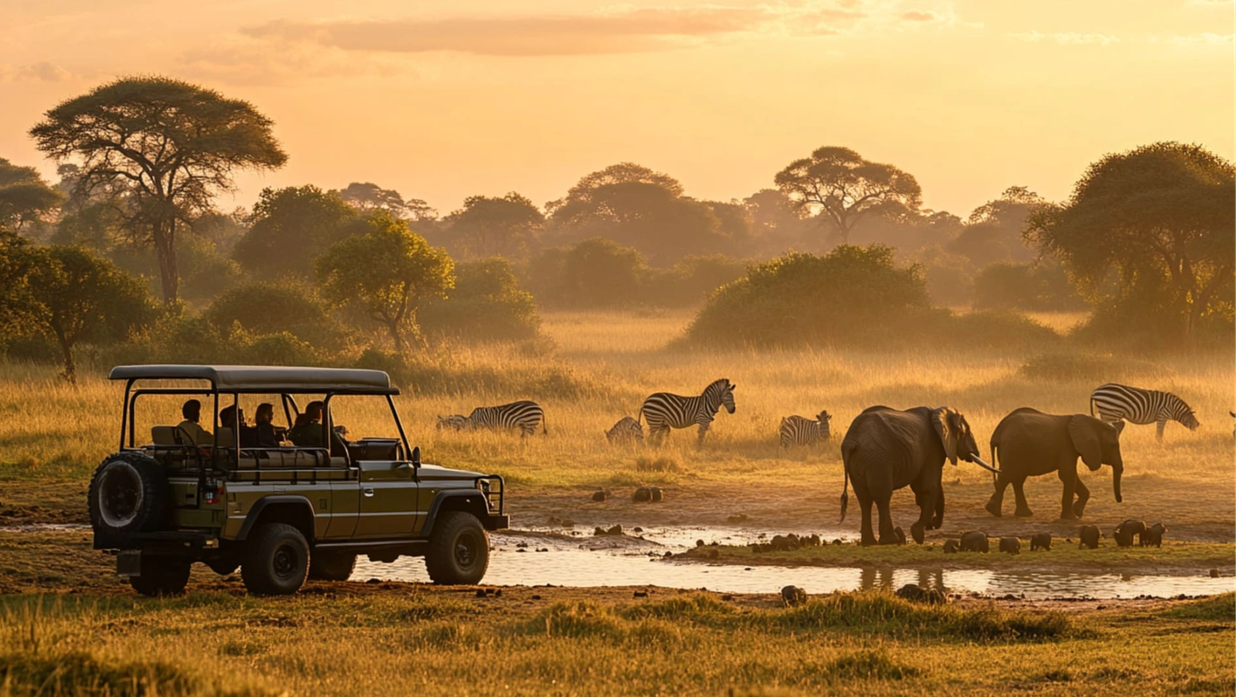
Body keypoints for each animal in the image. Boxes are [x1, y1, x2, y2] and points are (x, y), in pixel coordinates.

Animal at [839, 406, 990, 546]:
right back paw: (890, 540)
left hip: (859, 462)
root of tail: (851, 440)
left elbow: (920, 488)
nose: (933, 524)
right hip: (877, 459)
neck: (937, 412)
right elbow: (929, 487)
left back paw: (869, 542)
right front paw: (918, 534)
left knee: (864, 499)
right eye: (967, 432)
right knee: (882, 496)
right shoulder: (933, 449)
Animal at [985, 408, 1123, 520]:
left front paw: (1078, 512)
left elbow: (1071, 475)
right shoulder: (1066, 445)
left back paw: (1023, 514)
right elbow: (1067, 475)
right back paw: (993, 511)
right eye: (1113, 445)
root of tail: (997, 432)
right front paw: (1072, 518)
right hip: (1013, 446)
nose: (1120, 500)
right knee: (1007, 475)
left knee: (1017, 479)